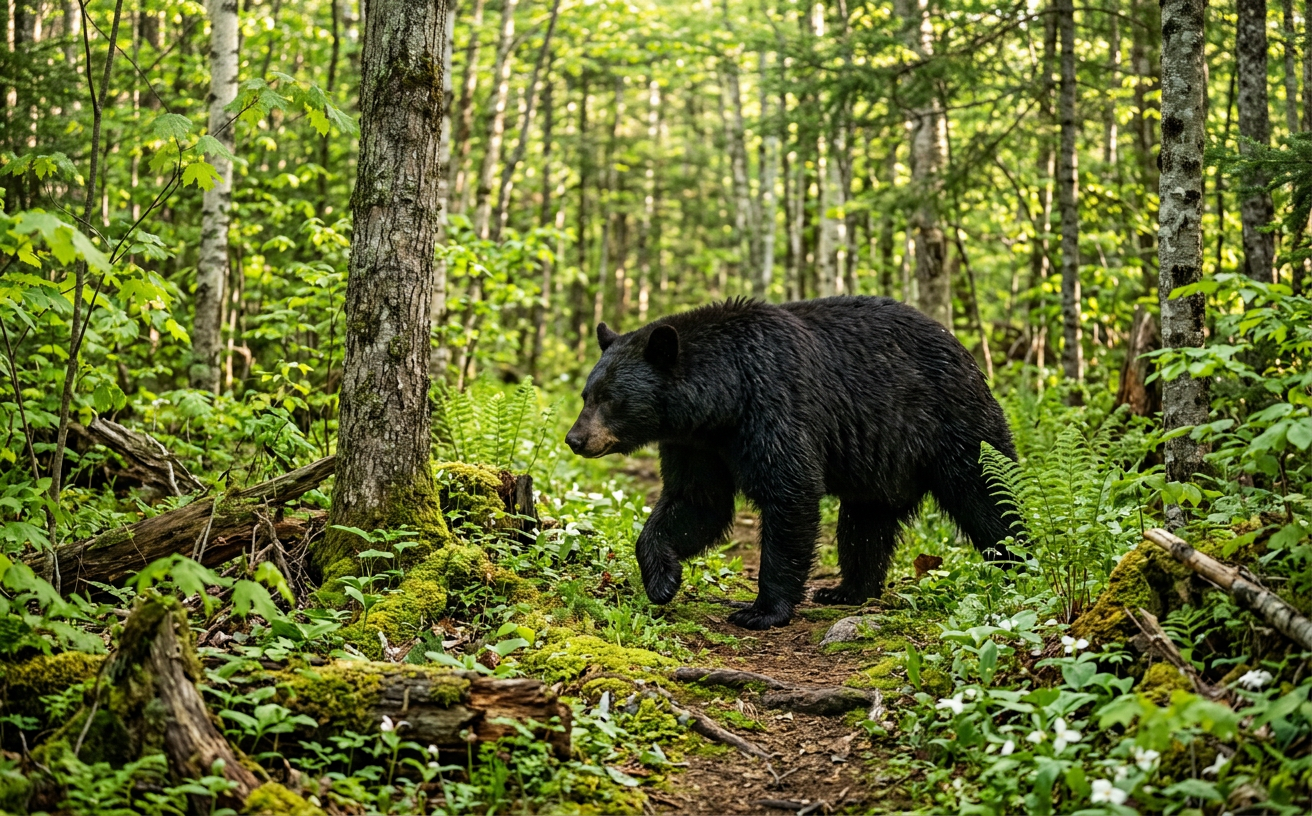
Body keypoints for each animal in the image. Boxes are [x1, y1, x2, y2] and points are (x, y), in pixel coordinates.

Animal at [565, 296, 1021, 630]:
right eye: (586, 394)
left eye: (610, 398)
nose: (575, 439)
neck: (723, 400)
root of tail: (964, 351)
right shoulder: (695, 444)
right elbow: (696, 501)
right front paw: (662, 580)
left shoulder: (775, 405)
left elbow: (789, 492)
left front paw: (761, 610)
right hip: (881, 466)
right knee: (864, 524)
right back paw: (846, 590)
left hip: (953, 423)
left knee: (988, 495)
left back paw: (1020, 564)